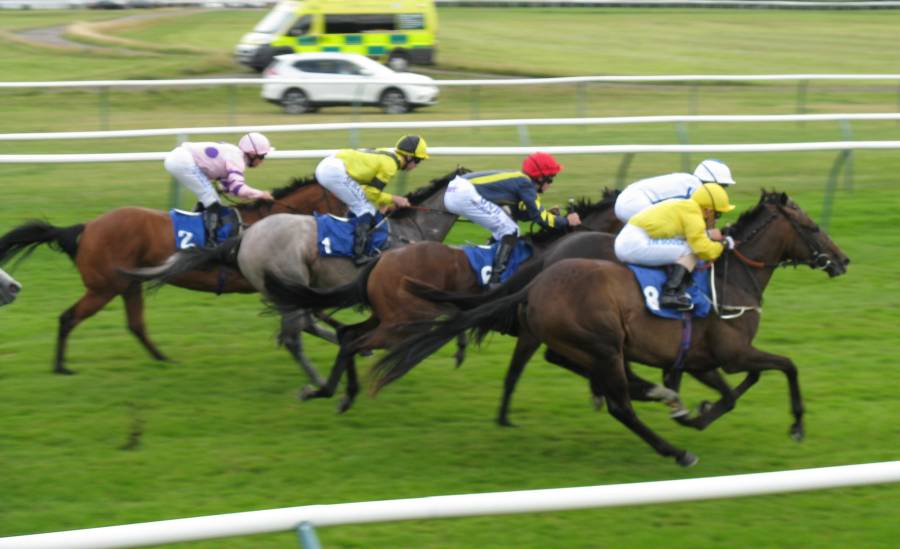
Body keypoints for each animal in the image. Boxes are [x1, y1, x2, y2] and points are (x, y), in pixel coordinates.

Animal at [0, 176, 345, 375]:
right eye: (346, 195)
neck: (273, 221)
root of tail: (86, 227)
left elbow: (313, 313)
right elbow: (309, 316)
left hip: (129, 285)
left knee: (136, 324)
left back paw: (164, 360)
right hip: (102, 289)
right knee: (68, 318)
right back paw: (61, 367)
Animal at [262, 190, 630, 413]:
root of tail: (381, 259)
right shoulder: (536, 329)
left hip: (387, 317)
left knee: (349, 336)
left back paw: (333, 392)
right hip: (403, 324)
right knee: (354, 342)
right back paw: (329, 392)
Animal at [370, 191, 850, 466]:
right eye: (811, 227)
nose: (843, 260)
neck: (732, 278)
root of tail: (540, 277)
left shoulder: (702, 359)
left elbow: (734, 392)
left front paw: (694, 413)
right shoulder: (731, 353)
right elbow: (786, 366)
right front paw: (797, 426)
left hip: (587, 344)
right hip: (602, 343)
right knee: (621, 405)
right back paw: (674, 449)